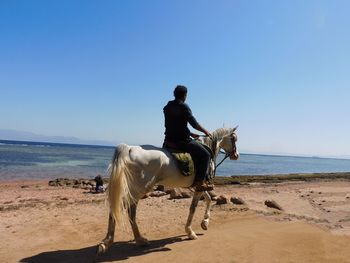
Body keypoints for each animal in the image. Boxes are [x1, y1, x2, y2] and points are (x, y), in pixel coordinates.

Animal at [98, 127, 239, 255]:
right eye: (234, 139)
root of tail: (130, 148)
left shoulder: (198, 186)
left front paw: (205, 223)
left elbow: (209, 199)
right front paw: (190, 232)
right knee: (127, 209)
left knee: (121, 208)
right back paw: (117, 241)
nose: (236, 155)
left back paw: (128, 240)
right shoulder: (200, 186)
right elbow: (193, 208)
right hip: (139, 188)